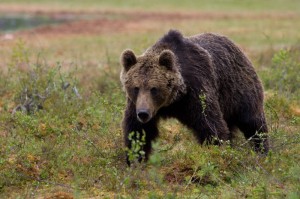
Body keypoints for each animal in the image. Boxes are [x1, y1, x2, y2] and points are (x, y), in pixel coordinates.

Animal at [120, 29, 268, 163]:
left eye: (154, 89)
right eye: (136, 88)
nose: (143, 113)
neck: (174, 100)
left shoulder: (196, 90)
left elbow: (210, 125)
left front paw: (216, 153)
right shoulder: (136, 104)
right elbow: (137, 131)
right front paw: (135, 160)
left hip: (240, 90)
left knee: (253, 123)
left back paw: (262, 151)